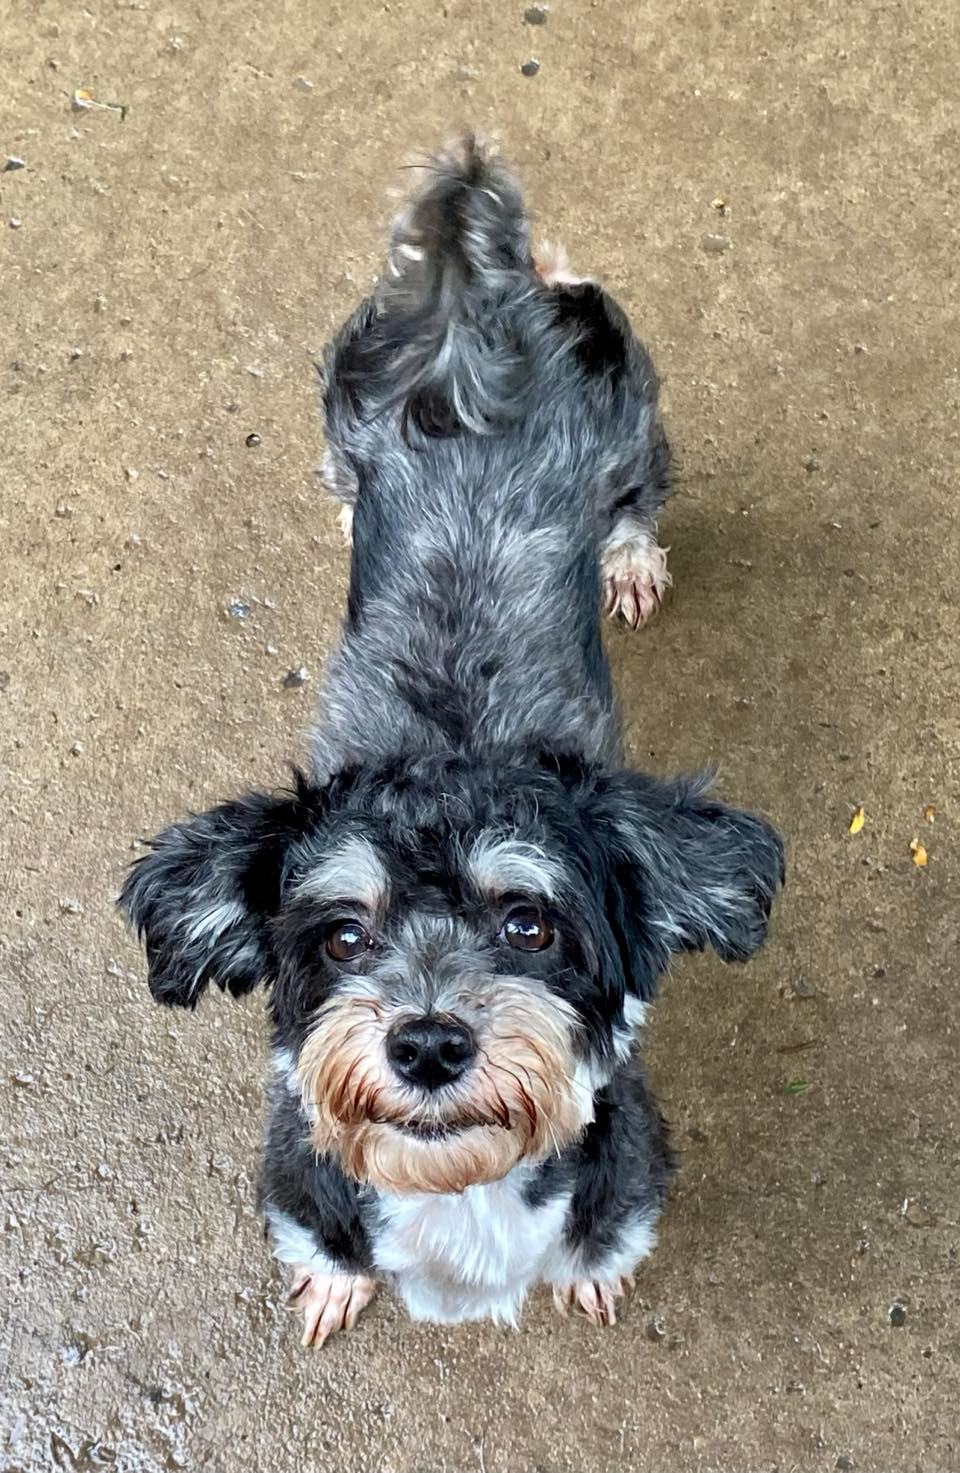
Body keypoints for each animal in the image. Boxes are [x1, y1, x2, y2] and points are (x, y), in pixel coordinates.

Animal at [120, 138, 783, 1349]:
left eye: (529, 922)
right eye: (341, 934)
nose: (427, 1044)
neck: (457, 1189)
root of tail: (486, 309)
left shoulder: (627, 1190)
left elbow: (605, 1244)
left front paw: (589, 1278)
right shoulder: (297, 1185)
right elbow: (321, 1240)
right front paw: (336, 1280)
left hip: (630, 423)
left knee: (639, 493)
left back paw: (627, 558)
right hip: (342, 408)